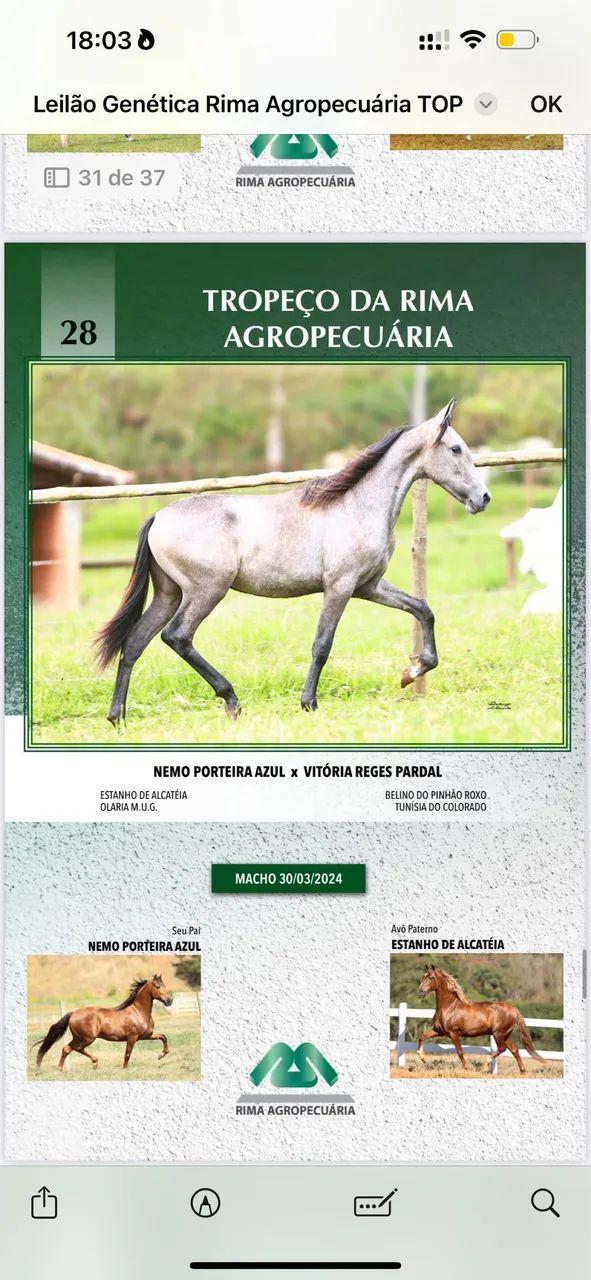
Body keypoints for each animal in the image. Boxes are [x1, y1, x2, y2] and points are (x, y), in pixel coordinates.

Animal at [33, 974, 173, 1071]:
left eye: (165, 986)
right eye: (157, 986)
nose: (170, 1000)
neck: (138, 1012)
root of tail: (73, 1013)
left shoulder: (146, 1035)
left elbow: (164, 1037)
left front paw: (161, 1055)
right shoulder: (132, 1037)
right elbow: (127, 1054)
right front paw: (125, 1070)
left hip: (78, 1037)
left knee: (66, 1049)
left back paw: (60, 1069)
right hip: (88, 1038)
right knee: (77, 1048)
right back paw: (95, 1062)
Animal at [95, 398, 491, 725]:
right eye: (456, 448)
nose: (483, 498)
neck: (356, 506)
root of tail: (159, 516)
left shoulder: (369, 586)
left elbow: (423, 609)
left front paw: (413, 672)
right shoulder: (340, 586)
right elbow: (322, 645)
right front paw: (309, 704)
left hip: (169, 594)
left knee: (135, 642)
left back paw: (118, 718)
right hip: (206, 591)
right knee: (177, 636)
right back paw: (231, 700)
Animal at [416, 964, 546, 1074]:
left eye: (431, 977)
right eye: (423, 976)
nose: (420, 992)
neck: (449, 1007)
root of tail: (514, 1009)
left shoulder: (453, 1033)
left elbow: (460, 1052)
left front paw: (467, 1068)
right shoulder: (440, 1031)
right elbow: (422, 1037)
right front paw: (423, 1058)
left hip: (498, 1033)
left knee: (502, 1048)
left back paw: (485, 1066)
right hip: (505, 1035)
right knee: (514, 1050)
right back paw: (523, 1071)